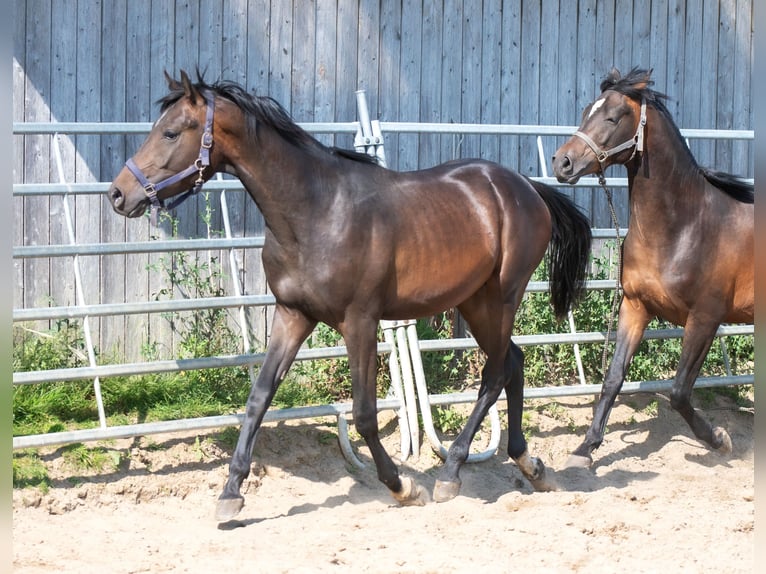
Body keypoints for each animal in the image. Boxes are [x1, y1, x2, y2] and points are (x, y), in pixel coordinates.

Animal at [106, 71, 592, 520]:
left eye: (171, 132)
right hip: (475, 302)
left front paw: (402, 486)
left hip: (502, 296)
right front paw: (230, 494)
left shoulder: (360, 321)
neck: (316, 212)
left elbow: (363, 414)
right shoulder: (292, 314)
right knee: (513, 362)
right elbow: (258, 398)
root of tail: (527, 188)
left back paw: (451, 474)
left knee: (495, 373)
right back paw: (530, 466)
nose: (118, 194)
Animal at [552, 67, 756, 470]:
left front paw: (719, 440)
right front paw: (585, 449)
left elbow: (678, 392)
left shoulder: (705, 318)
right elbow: (613, 378)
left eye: (613, 117)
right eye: (586, 111)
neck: (684, 228)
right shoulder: (635, 306)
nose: (562, 162)